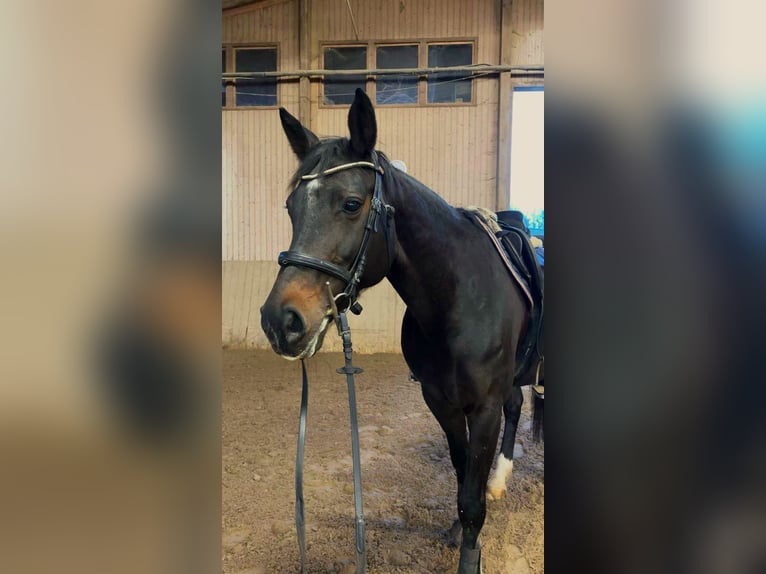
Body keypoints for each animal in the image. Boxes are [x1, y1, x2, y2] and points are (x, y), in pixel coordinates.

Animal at [261, 88, 541, 574]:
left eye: (351, 203)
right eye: (291, 207)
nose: (281, 321)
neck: (458, 298)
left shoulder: (483, 407)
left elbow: (471, 495)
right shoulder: (440, 400)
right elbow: (463, 474)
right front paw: (461, 528)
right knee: (517, 403)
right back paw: (499, 480)